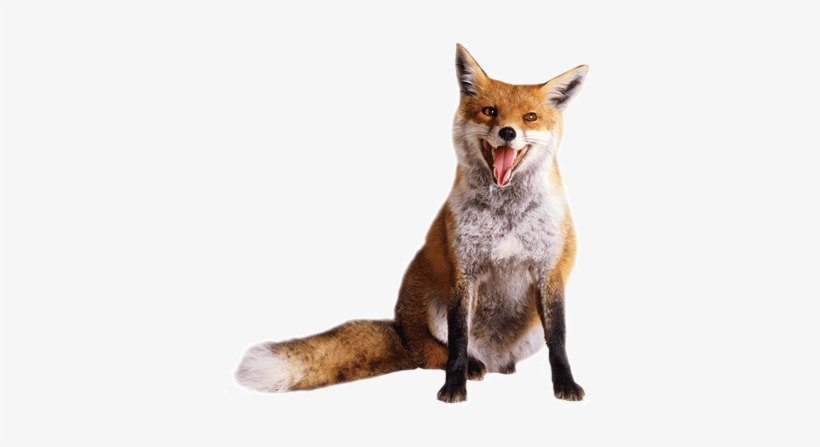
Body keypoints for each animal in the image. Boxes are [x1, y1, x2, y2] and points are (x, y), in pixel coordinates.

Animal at [235, 44, 588, 403]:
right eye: (490, 111)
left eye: (529, 117)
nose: (507, 132)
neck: (507, 218)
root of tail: (402, 332)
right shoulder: (462, 272)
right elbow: (457, 343)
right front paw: (453, 386)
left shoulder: (550, 272)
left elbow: (558, 340)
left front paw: (566, 385)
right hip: (434, 309)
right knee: (434, 355)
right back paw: (471, 367)